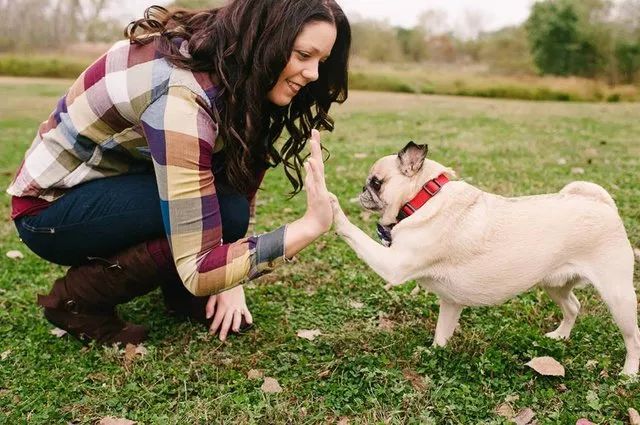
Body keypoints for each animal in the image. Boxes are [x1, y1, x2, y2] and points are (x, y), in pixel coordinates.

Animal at [330, 142, 640, 374]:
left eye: (376, 183)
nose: (362, 190)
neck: (424, 198)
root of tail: (602, 204)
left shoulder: (393, 266)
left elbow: (354, 232)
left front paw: (332, 206)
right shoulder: (450, 303)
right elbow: (442, 333)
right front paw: (435, 354)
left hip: (617, 296)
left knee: (633, 337)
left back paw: (628, 373)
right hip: (555, 283)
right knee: (573, 306)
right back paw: (560, 336)